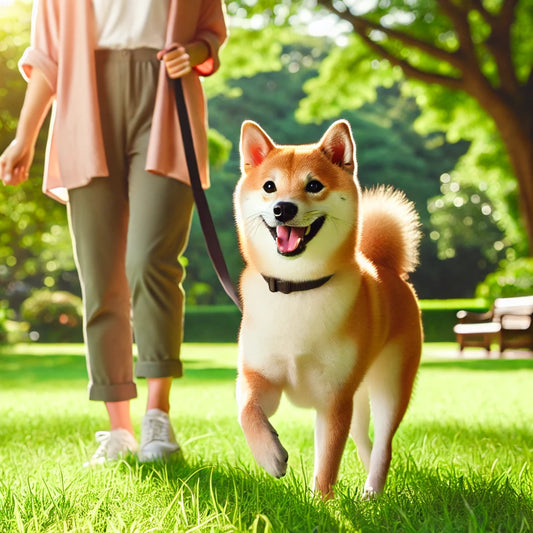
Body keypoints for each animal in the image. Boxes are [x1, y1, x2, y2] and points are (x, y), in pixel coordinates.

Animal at [235, 118, 422, 496]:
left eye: (314, 185)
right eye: (269, 186)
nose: (283, 208)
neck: (296, 290)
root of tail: (385, 267)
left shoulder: (334, 398)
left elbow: (327, 462)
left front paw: (321, 502)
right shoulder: (260, 375)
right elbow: (247, 411)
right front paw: (269, 454)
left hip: (390, 383)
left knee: (384, 445)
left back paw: (372, 492)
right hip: (359, 396)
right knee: (364, 441)